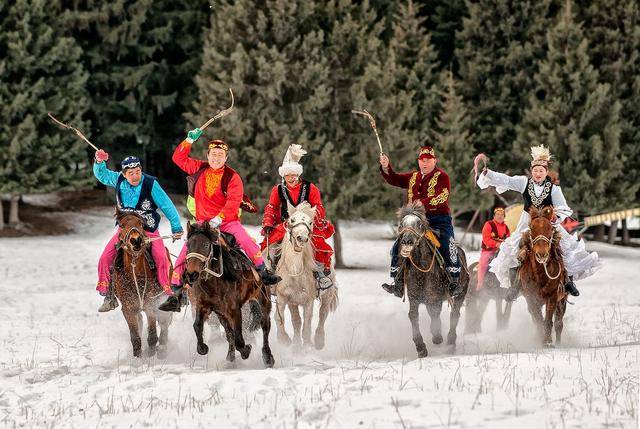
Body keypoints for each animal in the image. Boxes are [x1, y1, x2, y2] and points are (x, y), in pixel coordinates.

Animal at [112, 209, 172, 356]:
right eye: (121, 225)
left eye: (140, 223)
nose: (136, 240)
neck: (135, 276)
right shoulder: (128, 309)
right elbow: (135, 338)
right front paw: (138, 358)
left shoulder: (151, 305)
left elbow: (152, 336)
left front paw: (151, 356)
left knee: (164, 321)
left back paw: (162, 348)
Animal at [185, 221, 276, 368]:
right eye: (188, 245)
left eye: (205, 245)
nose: (192, 274)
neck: (214, 282)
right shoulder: (203, 305)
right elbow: (197, 325)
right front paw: (202, 348)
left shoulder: (235, 309)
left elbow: (239, 338)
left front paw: (246, 350)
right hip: (222, 314)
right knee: (229, 333)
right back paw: (230, 358)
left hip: (263, 301)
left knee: (265, 326)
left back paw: (267, 357)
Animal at [264, 201, 338, 348]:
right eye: (292, 220)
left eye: (310, 222)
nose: (302, 238)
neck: (295, 272)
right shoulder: (284, 298)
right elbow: (279, 318)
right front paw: (285, 340)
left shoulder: (308, 301)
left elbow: (307, 325)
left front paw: (307, 346)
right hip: (293, 302)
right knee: (296, 320)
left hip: (328, 293)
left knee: (323, 314)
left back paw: (319, 340)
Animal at [396, 202, 470, 356]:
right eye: (401, 224)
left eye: (419, 224)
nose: (407, 241)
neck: (421, 270)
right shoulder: (415, 298)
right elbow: (413, 316)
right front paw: (421, 347)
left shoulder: (434, 298)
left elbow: (437, 316)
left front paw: (437, 338)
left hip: (461, 292)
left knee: (455, 314)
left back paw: (450, 341)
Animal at [516, 206, 568, 346]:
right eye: (531, 228)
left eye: (550, 228)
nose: (542, 254)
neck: (540, 274)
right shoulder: (531, 298)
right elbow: (538, 320)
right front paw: (541, 340)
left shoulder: (553, 296)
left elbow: (548, 321)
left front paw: (548, 341)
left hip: (562, 300)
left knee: (559, 323)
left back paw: (559, 343)